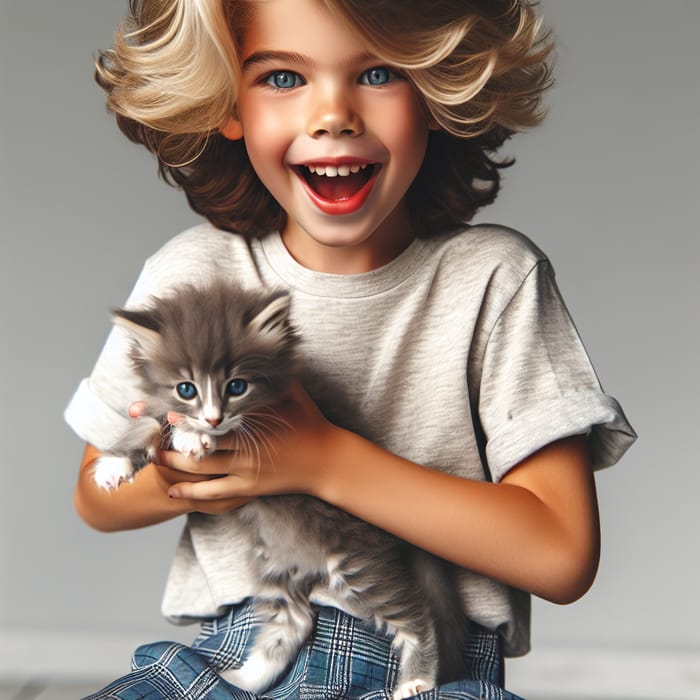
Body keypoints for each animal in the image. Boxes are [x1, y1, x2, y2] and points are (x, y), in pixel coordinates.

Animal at [90, 280, 468, 700]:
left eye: (237, 386)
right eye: (186, 389)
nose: (213, 418)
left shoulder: (275, 420)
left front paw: (192, 435)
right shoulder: (156, 405)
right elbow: (146, 426)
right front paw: (115, 463)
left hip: (356, 562)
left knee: (415, 614)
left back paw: (419, 680)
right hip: (275, 563)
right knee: (296, 620)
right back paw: (238, 681)